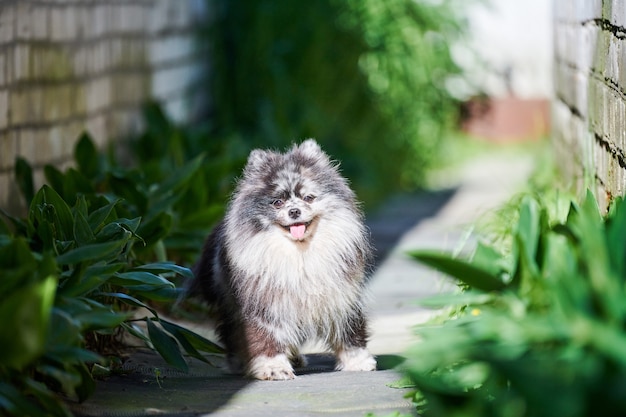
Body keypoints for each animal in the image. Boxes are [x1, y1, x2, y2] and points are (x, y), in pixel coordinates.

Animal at [188, 138, 376, 378]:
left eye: (308, 198)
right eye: (277, 202)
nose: (294, 211)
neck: (299, 254)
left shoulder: (339, 295)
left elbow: (349, 329)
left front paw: (357, 361)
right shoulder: (264, 302)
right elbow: (266, 335)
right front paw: (273, 367)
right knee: (232, 333)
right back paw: (241, 362)